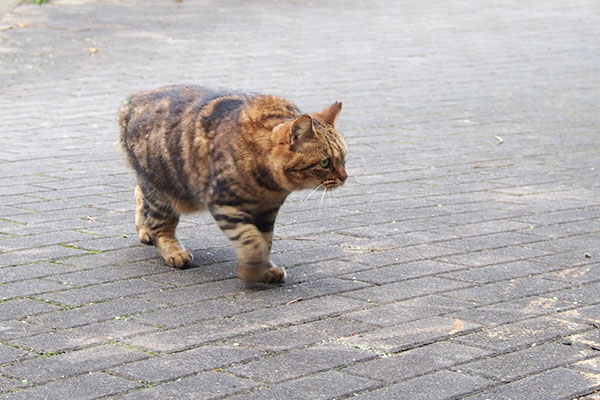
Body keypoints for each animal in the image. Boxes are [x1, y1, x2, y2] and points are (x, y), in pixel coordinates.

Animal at [118, 85, 346, 284]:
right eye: (325, 162)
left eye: (343, 158)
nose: (345, 177)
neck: (269, 186)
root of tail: (134, 98)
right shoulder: (225, 204)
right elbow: (252, 240)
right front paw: (252, 270)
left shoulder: (267, 211)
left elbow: (265, 241)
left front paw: (265, 268)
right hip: (164, 190)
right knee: (161, 225)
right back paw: (173, 251)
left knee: (139, 193)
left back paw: (144, 230)